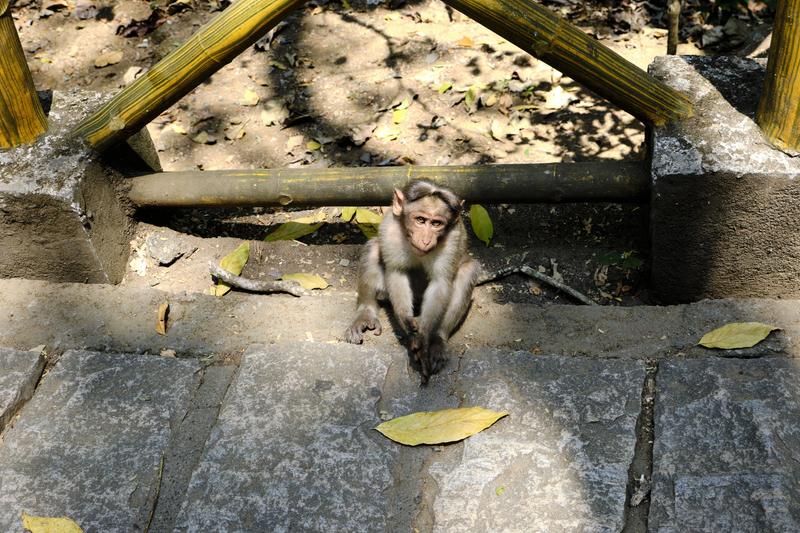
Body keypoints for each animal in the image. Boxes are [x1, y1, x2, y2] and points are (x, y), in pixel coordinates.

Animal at [344, 179, 482, 382]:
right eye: (420, 220)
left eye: (436, 223)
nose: (425, 240)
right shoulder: (390, 229)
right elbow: (396, 272)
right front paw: (408, 325)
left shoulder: (453, 237)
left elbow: (441, 282)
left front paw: (423, 339)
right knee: (373, 246)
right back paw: (365, 312)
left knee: (467, 270)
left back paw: (438, 340)